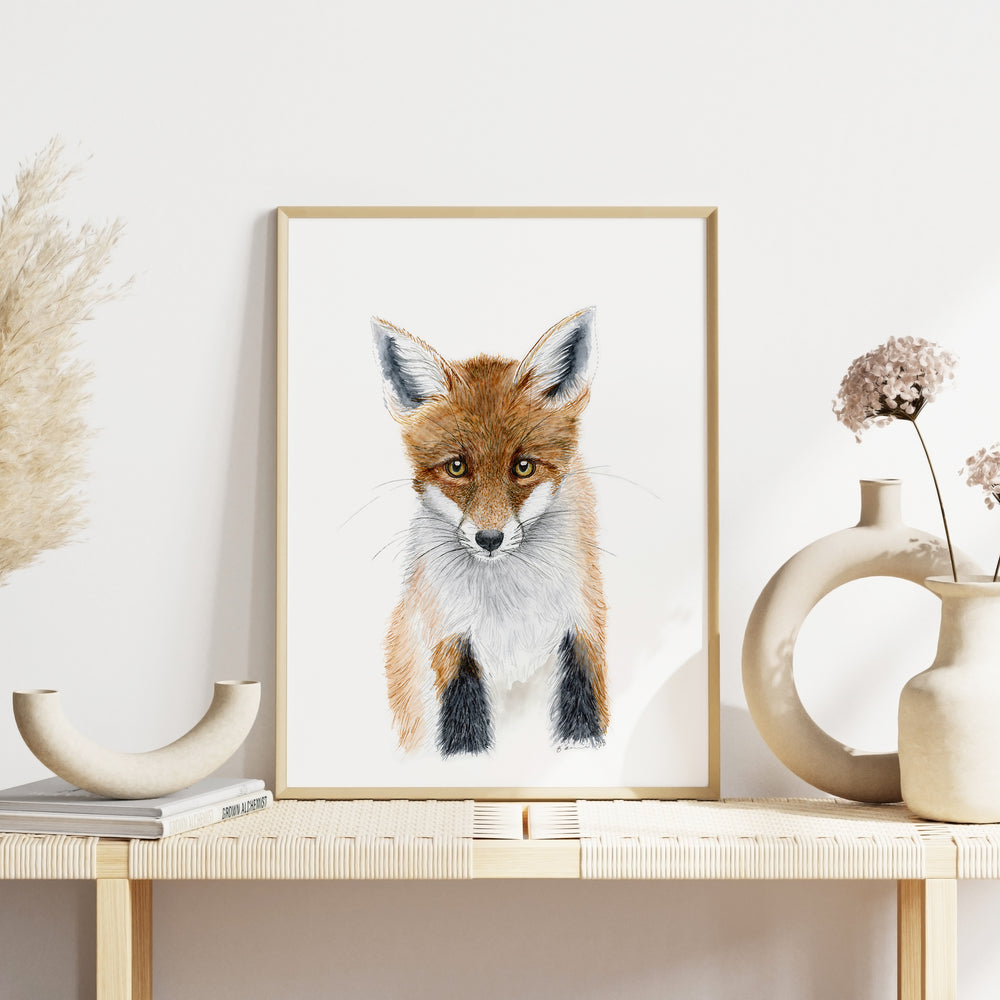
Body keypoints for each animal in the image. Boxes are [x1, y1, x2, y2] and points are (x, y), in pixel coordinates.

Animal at [372, 306, 608, 758]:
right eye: (456, 467)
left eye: (523, 467)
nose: (490, 540)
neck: (511, 615)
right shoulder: (452, 646)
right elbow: (465, 739)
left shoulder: (582, 634)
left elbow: (582, 727)